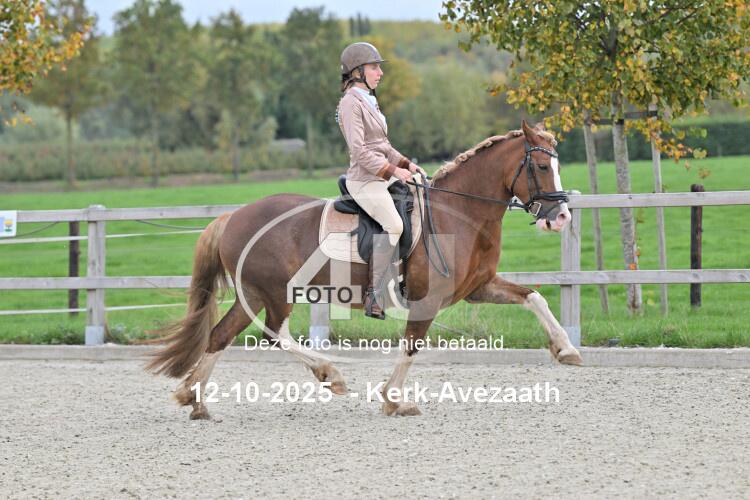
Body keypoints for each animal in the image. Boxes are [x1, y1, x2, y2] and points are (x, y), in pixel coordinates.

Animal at [145, 120, 582, 419]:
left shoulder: (479, 287)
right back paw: (330, 373)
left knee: (220, 335)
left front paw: (566, 350)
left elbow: (534, 297)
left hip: (251, 294)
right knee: (274, 334)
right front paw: (394, 400)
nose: (561, 217)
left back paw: (195, 400)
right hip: (277, 292)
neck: (457, 212)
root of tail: (233, 216)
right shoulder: (428, 299)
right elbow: (411, 345)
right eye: (541, 167)